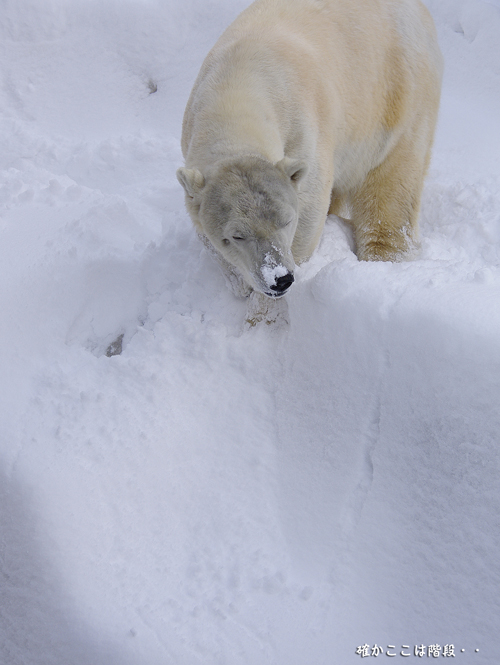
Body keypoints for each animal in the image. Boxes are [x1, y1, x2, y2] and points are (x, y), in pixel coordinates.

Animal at [176, 0, 442, 298]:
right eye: (236, 235)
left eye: (286, 221)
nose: (279, 279)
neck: (235, 90)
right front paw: (243, 286)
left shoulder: (302, 128)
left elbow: (308, 209)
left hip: (396, 95)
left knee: (391, 188)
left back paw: (382, 260)